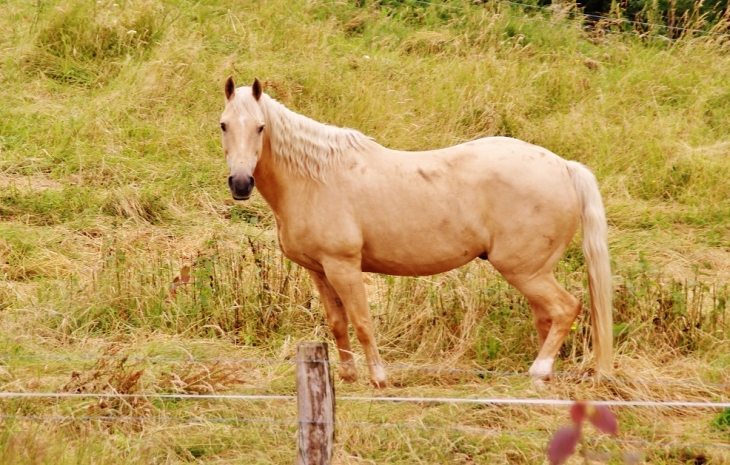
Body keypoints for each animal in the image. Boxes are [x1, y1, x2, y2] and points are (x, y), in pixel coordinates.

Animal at [219, 77, 612, 388]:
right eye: (224, 125)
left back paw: (538, 371)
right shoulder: (320, 270)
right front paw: (347, 377)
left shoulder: (344, 266)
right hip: (533, 273)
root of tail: (564, 166)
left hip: (525, 271)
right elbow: (338, 323)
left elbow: (362, 322)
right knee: (547, 317)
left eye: (260, 127)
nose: (241, 183)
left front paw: (378, 379)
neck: (315, 178)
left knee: (566, 309)